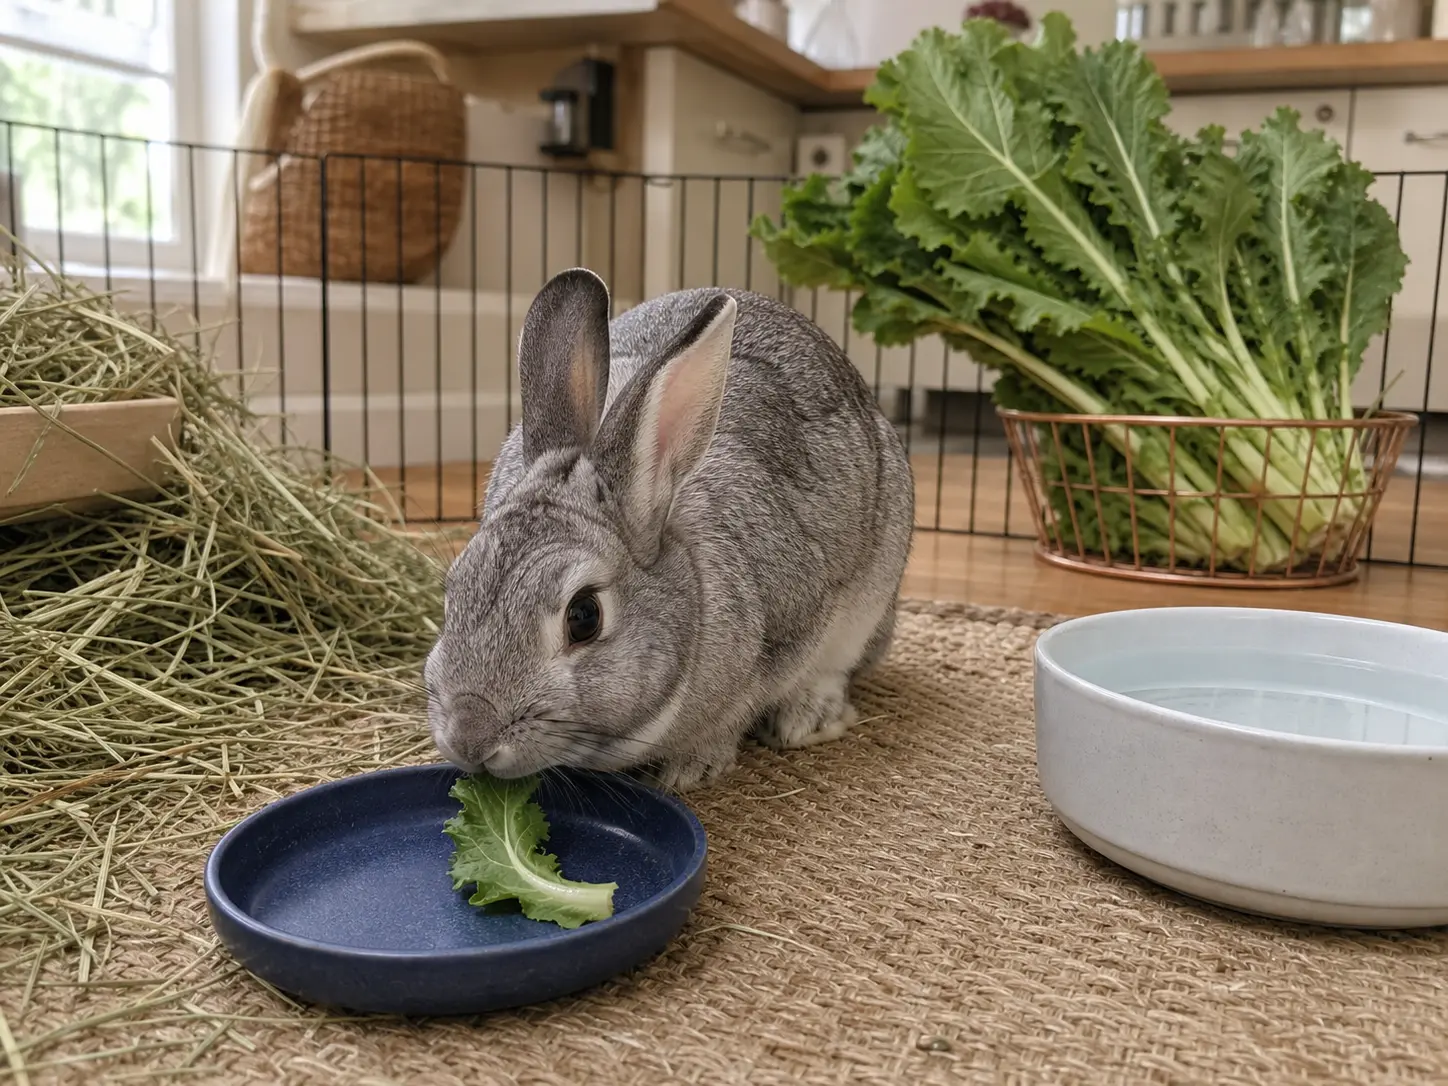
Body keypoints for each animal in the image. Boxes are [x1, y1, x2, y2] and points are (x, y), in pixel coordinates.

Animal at [424, 267, 914, 790]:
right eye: (453, 593)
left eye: (584, 617)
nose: (471, 737)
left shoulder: (797, 622)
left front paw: (692, 770)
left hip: (872, 597)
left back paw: (807, 719)